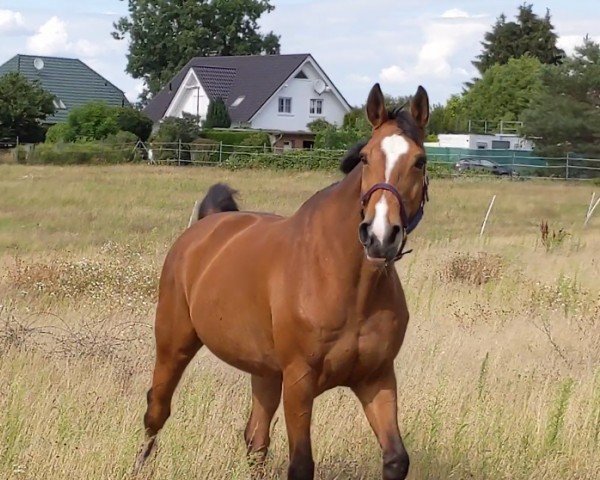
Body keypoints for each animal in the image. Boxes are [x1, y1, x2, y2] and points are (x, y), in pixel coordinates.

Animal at [134, 84, 428, 478]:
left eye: (419, 161)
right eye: (366, 158)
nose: (380, 236)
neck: (345, 282)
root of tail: (203, 228)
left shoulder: (377, 378)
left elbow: (396, 458)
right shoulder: (299, 382)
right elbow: (301, 464)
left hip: (265, 372)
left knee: (255, 439)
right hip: (174, 343)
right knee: (157, 409)